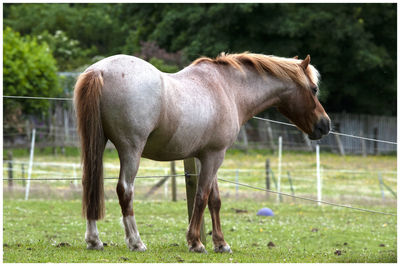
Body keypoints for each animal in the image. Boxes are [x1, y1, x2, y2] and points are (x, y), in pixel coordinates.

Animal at [74, 52, 332, 254]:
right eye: (314, 89)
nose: (325, 125)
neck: (228, 88)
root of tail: (100, 70)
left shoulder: (207, 157)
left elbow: (214, 200)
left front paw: (221, 243)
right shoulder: (214, 156)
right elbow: (202, 196)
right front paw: (196, 242)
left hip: (97, 144)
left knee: (91, 184)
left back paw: (94, 240)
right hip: (131, 150)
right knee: (125, 190)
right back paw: (136, 242)